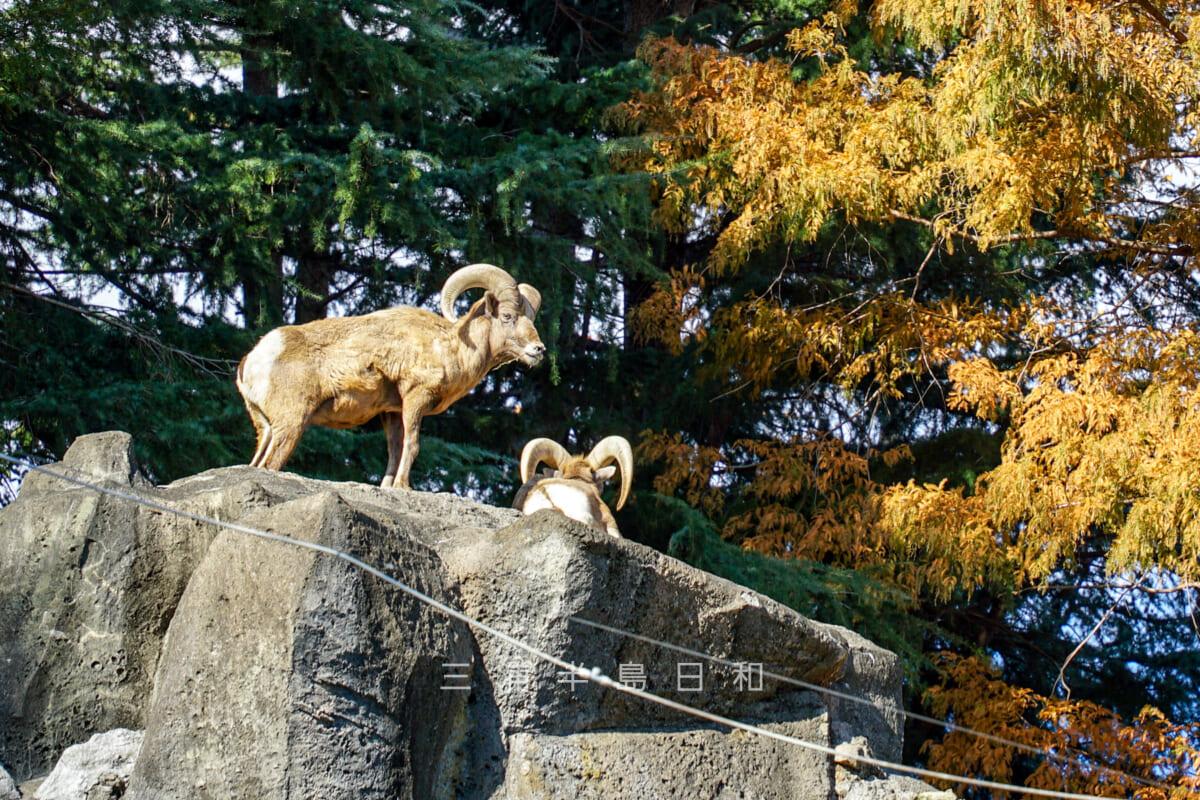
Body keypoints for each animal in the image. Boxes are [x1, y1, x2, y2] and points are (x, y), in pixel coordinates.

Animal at [236, 263, 547, 489]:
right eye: (507, 316)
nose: (539, 350)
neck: (452, 347)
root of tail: (252, 361)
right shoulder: (415, 399)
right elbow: (412, 445)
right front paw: (403, 486)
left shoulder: (391, 412)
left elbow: (395, 450)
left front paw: (388, 486)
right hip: (291, 425)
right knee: (270, 464)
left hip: (266, 429)